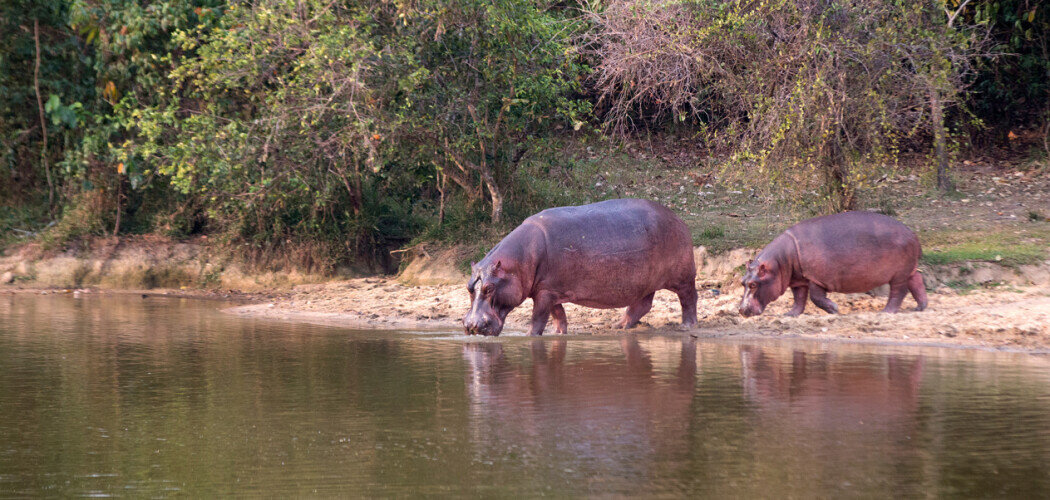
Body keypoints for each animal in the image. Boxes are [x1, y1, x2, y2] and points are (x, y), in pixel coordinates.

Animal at [461, 198, 697, 336]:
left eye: (489, 288)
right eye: (469, 288)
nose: (471, 325)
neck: (518, 262)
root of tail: (676, 217)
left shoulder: (545, 292)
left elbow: (538, 317)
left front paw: (529, 337)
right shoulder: (549, 290)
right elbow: (558, 315)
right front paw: (559, 334)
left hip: (682, 276)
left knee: (688, 298)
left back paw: (687, 326)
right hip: (645, 282)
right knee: (642, 305)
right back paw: (618, 326)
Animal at [739, 211, 928, 317]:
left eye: (753, 284)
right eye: (742, 282)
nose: (741, 310)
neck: (781, 261)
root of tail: (913, 234)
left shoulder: (815, 278)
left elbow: (815, 298)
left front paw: (834, 309)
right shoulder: (799, 279)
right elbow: (799, 298)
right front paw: (790, 314)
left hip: (898, 274)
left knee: (899, 291)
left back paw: (886, 312)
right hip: (907, 270)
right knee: (917, 279)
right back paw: (920, 308)